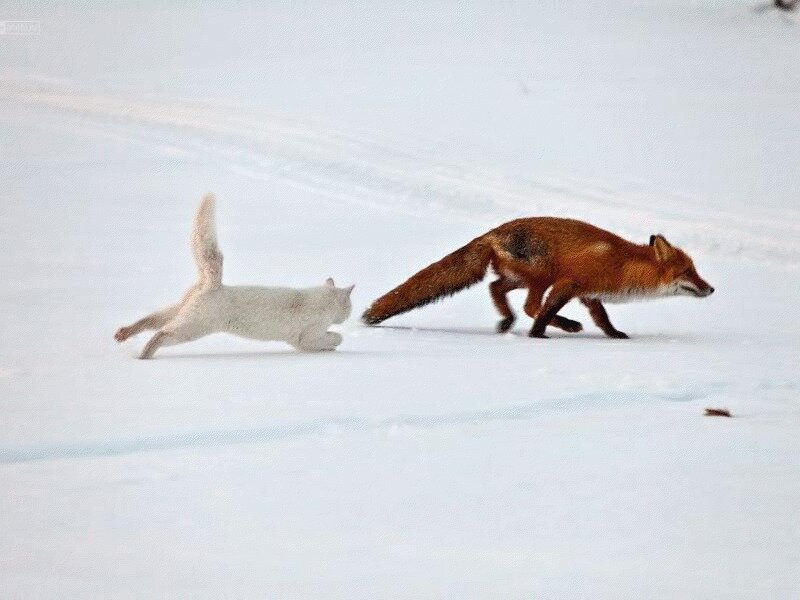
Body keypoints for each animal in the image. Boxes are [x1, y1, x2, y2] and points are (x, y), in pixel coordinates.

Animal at [114, 194, 354, 359]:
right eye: (350, 306)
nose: (348, 315)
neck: (325, 299)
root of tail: (213, 284)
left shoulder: (298, 341)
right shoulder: (306, 337)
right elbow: (335, 337)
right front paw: (332, 345)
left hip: (178, 311)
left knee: (148, 320)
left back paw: (123, 334)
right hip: (191, 327)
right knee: (160, 334)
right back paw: (143, 356)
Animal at [362, 217, 714, 338]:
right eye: (688, 272)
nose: (711, 288)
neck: (622, 264)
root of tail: (492, 233)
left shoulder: (590, 293)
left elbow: (603, 318)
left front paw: (614, 336)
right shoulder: (569, 283)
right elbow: (545, 310)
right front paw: (538, 335)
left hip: (521, 278)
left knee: (495, 287)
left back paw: (506, 321)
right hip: (541, 276)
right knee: (528, 306)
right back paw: (558, 327)